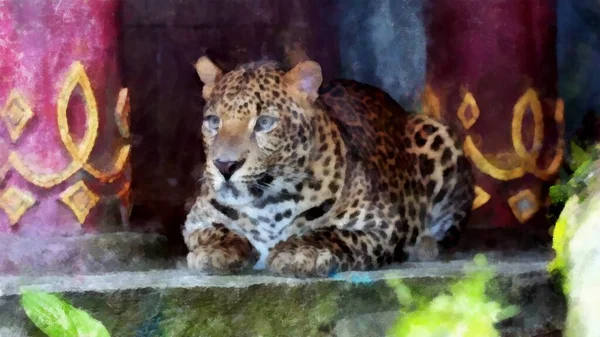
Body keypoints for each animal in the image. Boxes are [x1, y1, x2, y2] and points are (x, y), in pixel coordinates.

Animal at [183, 55, 474, 276]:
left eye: (265, 123)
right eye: (213, 121)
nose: (225, 165)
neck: (268, 204)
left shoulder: (383, 225)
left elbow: (332, 232)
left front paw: (300, 250)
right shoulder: (195, 221)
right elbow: (217, 229)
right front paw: (218, 250)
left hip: (436, 133)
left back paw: (425, 245)